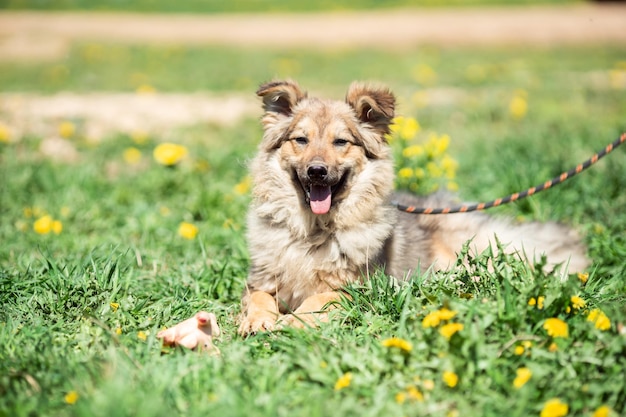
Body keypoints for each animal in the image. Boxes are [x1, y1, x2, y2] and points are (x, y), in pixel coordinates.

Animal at [158, 79, 588, 342]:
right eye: (301, 140)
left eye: (341, 142)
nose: (317, 171)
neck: (315, 232)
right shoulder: (261, 278)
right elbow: (260, 297)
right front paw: (259, 320)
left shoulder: (353, 288)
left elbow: (318, 300)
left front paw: (292, 321)